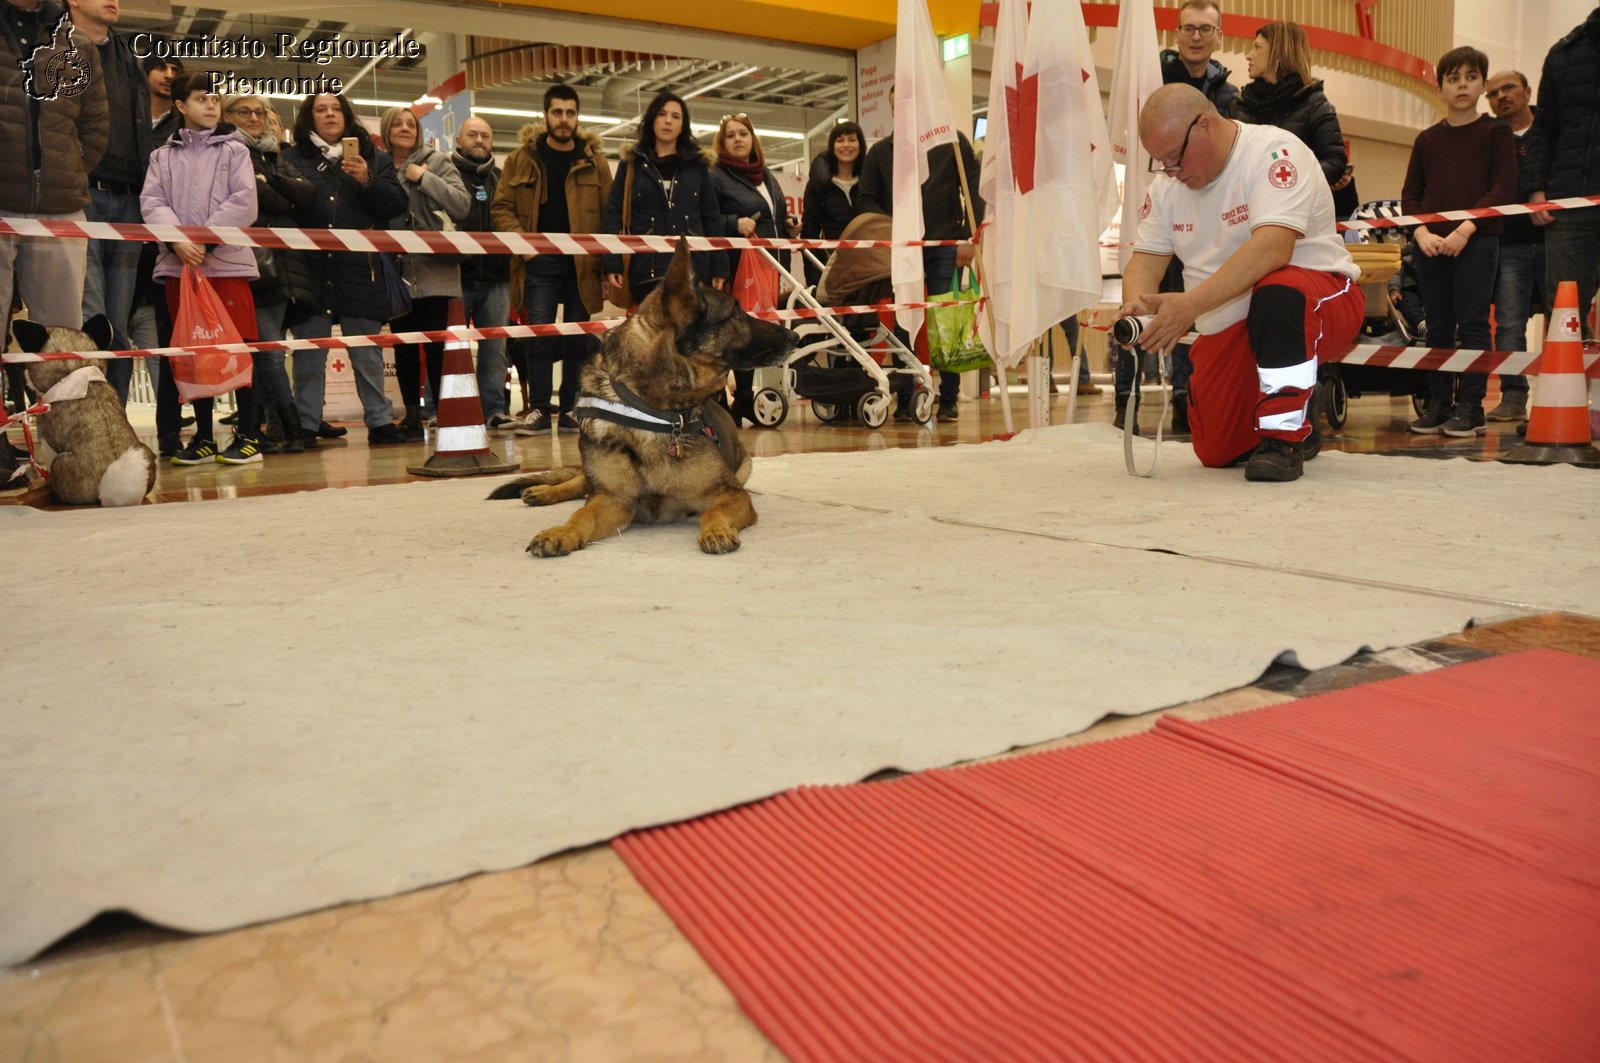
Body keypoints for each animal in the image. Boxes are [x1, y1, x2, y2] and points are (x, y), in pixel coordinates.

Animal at [480, 240, 793, 557]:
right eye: (737, 313)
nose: (794, 337)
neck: (654, 410)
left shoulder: (730, 492)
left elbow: (712, 511)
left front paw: (716, 530)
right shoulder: (613, 499)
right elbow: (581, 514)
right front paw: (562, 532)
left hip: (744, 467)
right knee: (580, 481)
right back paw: (543, 491)